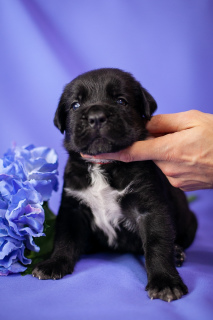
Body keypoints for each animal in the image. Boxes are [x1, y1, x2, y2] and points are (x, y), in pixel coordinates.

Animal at [32, 69, 197, 302]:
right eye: (75, 105)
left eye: (121, 101)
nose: (96, 117)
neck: (104, 163)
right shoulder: (72, 208)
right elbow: (65, 238)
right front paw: (54, 263)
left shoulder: (149, 209)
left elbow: (157, 243)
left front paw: (165, 282)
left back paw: (177, 252)